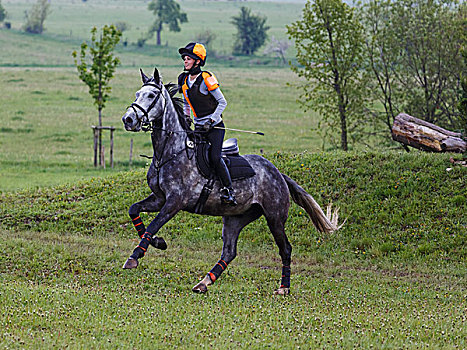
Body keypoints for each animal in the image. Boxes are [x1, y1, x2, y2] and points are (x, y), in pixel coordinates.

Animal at [120, 68, 340, 296]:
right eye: (137, 94)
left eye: (151, 95)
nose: (128, 119)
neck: (171, 151)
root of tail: (278, 173)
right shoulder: (159, 199)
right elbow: (135, 211)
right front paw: (158, 243)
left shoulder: (174, 202)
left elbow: (153, 225)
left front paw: (135, 256)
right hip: (236, 218)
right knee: (229, 251)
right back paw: (204, 282)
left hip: (274, 217)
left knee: (285, 248)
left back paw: (284, 287)